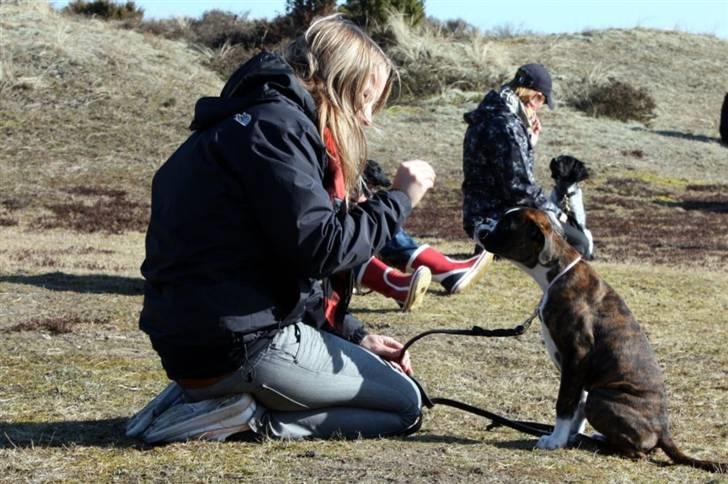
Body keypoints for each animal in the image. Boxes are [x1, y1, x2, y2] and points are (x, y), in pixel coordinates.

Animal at [480, 207, 724, 472]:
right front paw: (569, 436)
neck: (557, 275)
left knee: (638, 452)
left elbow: (565, 403)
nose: (481, 226)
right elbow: (576, 406)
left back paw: (600, 444)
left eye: (506, 225)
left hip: (600, 398)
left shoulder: (576, 356)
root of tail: (663, 431)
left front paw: (555, 440)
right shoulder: (576, 370)